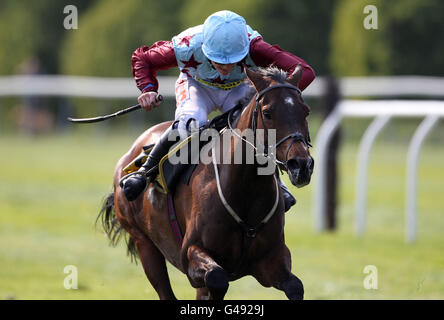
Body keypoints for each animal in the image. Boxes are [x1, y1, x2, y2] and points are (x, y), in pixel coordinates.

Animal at [98, 65, 312, 300]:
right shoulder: (190, 254)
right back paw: (136, 180)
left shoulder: (272, 260)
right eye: (268, 113)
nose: (301, 165)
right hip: (143, 242)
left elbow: (295, 286)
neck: (246, 192)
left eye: (306, 111)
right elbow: (216, 278)